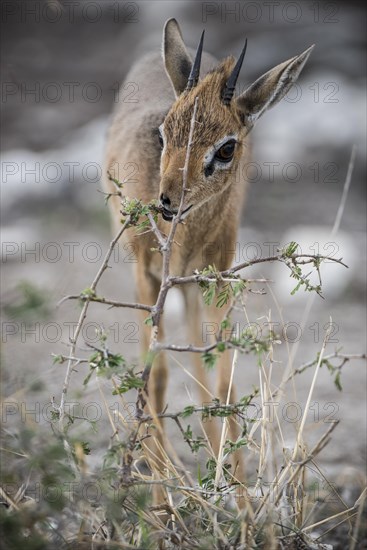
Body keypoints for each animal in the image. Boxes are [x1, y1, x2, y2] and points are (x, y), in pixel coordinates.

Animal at [104, 19, 314, 506]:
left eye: (226, 148)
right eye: (165, 130)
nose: (167, 200)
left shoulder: (217, 277)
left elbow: (224, 380)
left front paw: (241, 503)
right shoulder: (147, 278)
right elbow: (157, 376)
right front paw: (161, 508)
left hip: (192, 286)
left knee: (201, 369)